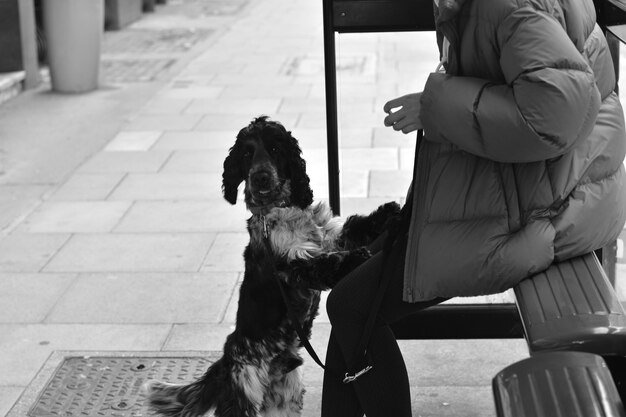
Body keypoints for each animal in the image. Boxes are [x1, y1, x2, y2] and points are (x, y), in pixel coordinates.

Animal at [145, 115, 400, 414]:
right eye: (246, 154)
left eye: (276, 149)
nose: (260, 177)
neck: (280, 210)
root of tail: (224, 363)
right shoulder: (292, 266)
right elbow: (327, 263)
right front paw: (358, 257)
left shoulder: (329, 237)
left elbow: (355, 227)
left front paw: (388, 211)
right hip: (243, 394)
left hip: (285, 398)